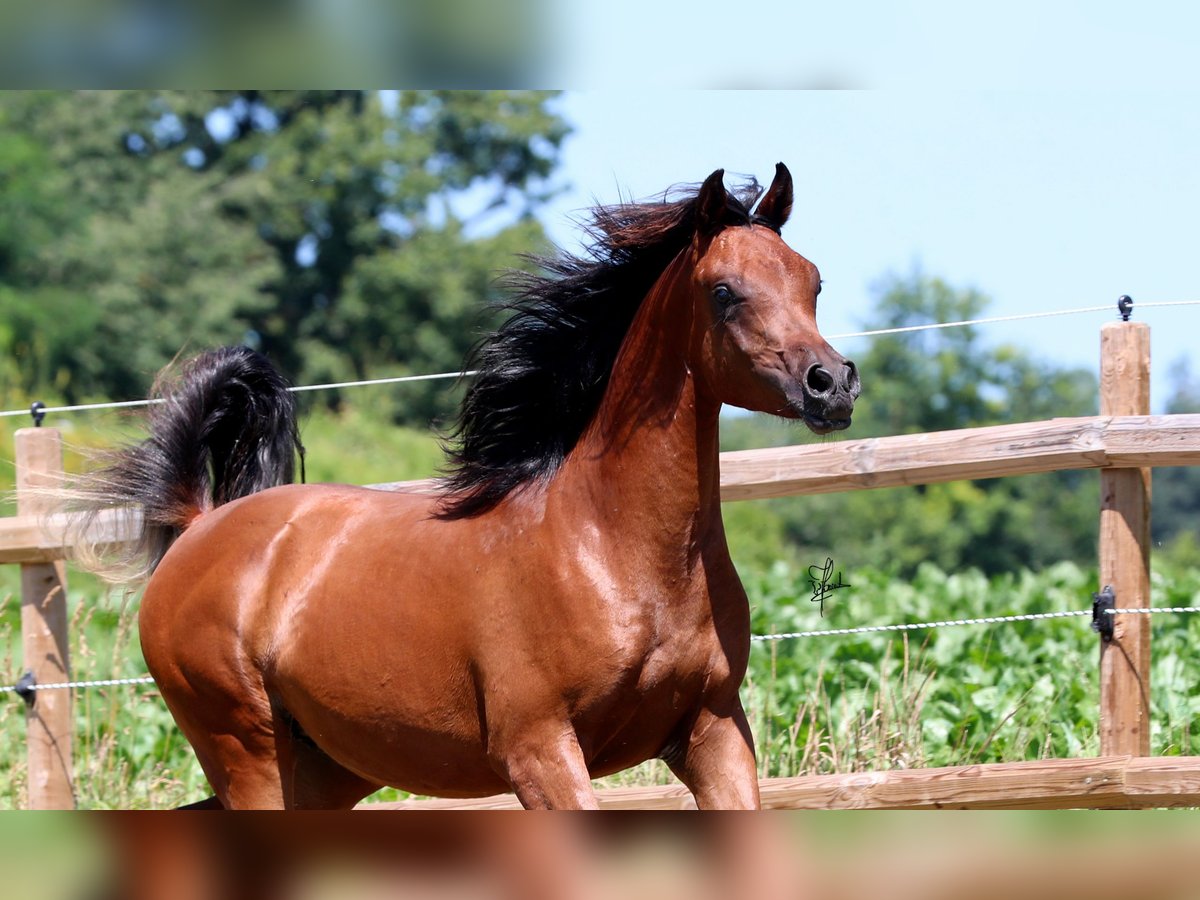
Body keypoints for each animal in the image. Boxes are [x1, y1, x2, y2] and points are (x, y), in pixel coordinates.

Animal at [75, 162, 859, 811]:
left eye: (813, 281)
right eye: (724, 292)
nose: (832, 384)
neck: (617, 551)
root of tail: (199, 523)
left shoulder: (714, 733)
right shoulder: (538, 751)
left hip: (329, 768)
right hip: (245, 749)